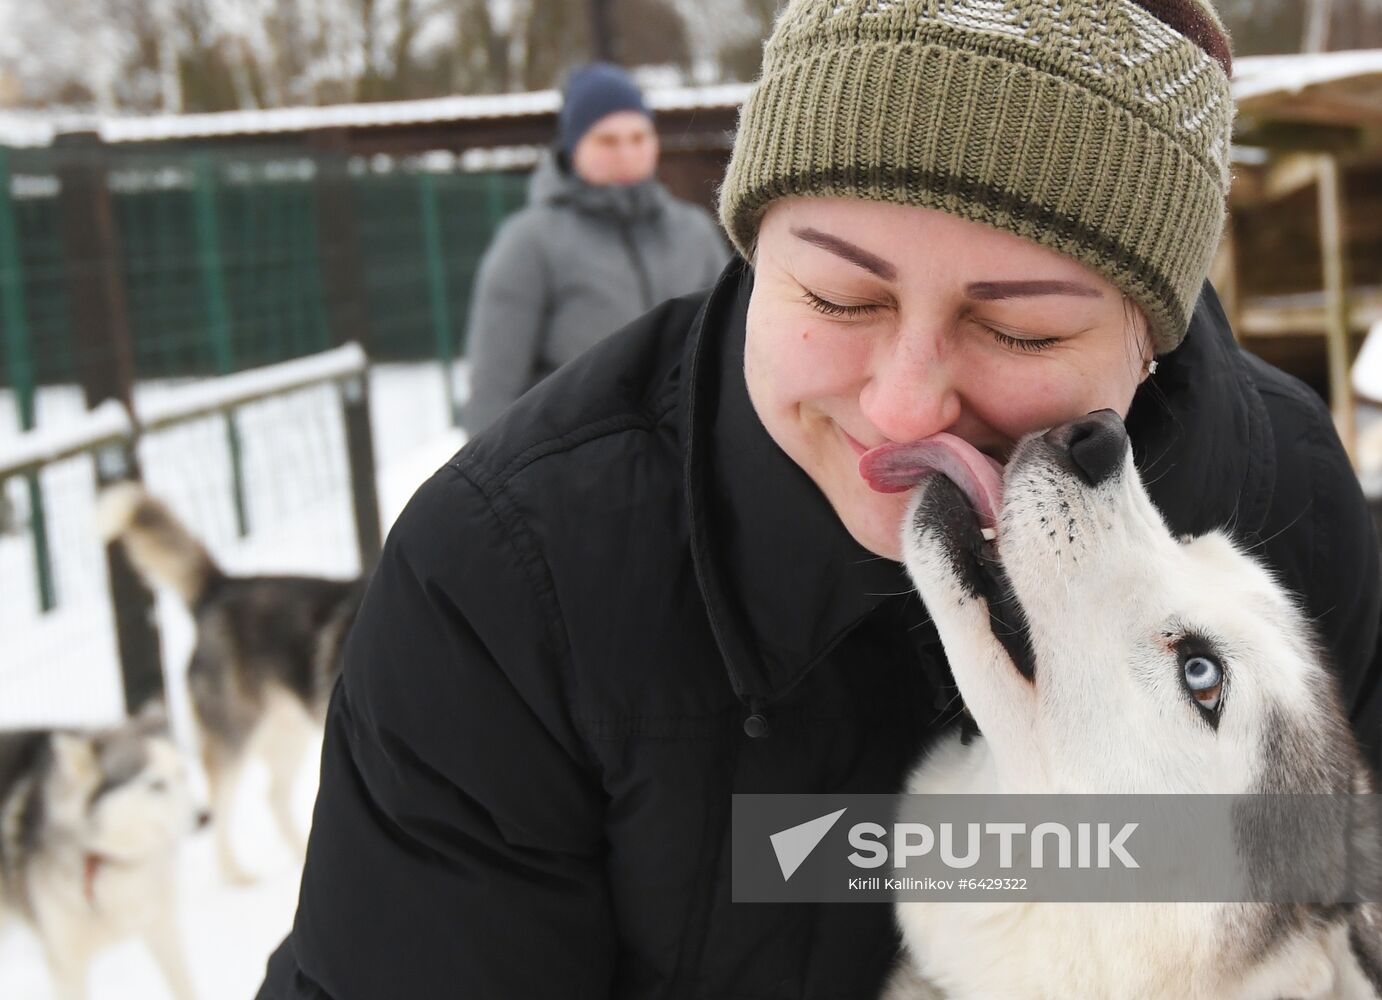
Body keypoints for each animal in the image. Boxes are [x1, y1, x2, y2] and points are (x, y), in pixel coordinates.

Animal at [0, 707, 207, 994]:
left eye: (182, 773)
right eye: (155, 784)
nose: (206, 816)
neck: (110, 861)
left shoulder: (162, 929)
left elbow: (183, 985)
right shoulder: (67, 967)